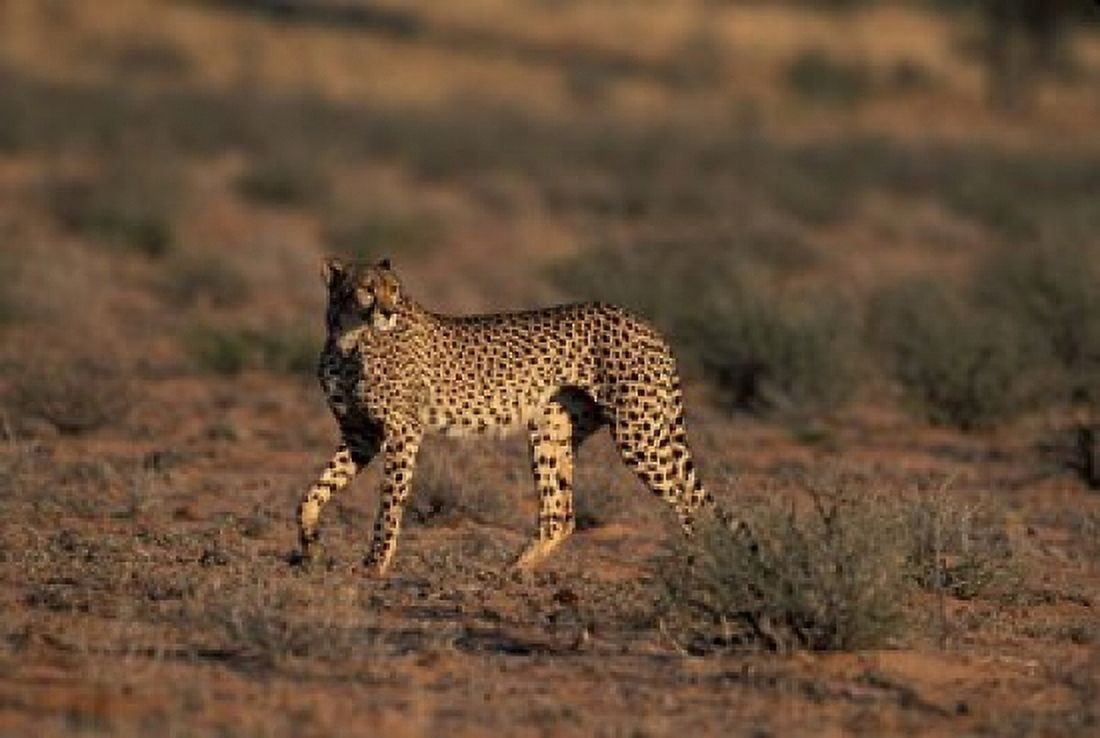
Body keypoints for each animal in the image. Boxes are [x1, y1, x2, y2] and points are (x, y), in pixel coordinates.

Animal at [296, 257, 748, 575]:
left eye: (395, 289)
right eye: (366, 289)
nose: (389, 311)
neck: (350, 339)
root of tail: (645, 322)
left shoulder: (402, 433)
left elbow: (389, 504)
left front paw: (374, 565)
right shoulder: (360, 435)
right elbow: (312, 494)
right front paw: (311, 547)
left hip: (638, 433)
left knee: (685, 503)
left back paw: (693, 568)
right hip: (551, 430)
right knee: (560, 514)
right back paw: (512, 570)